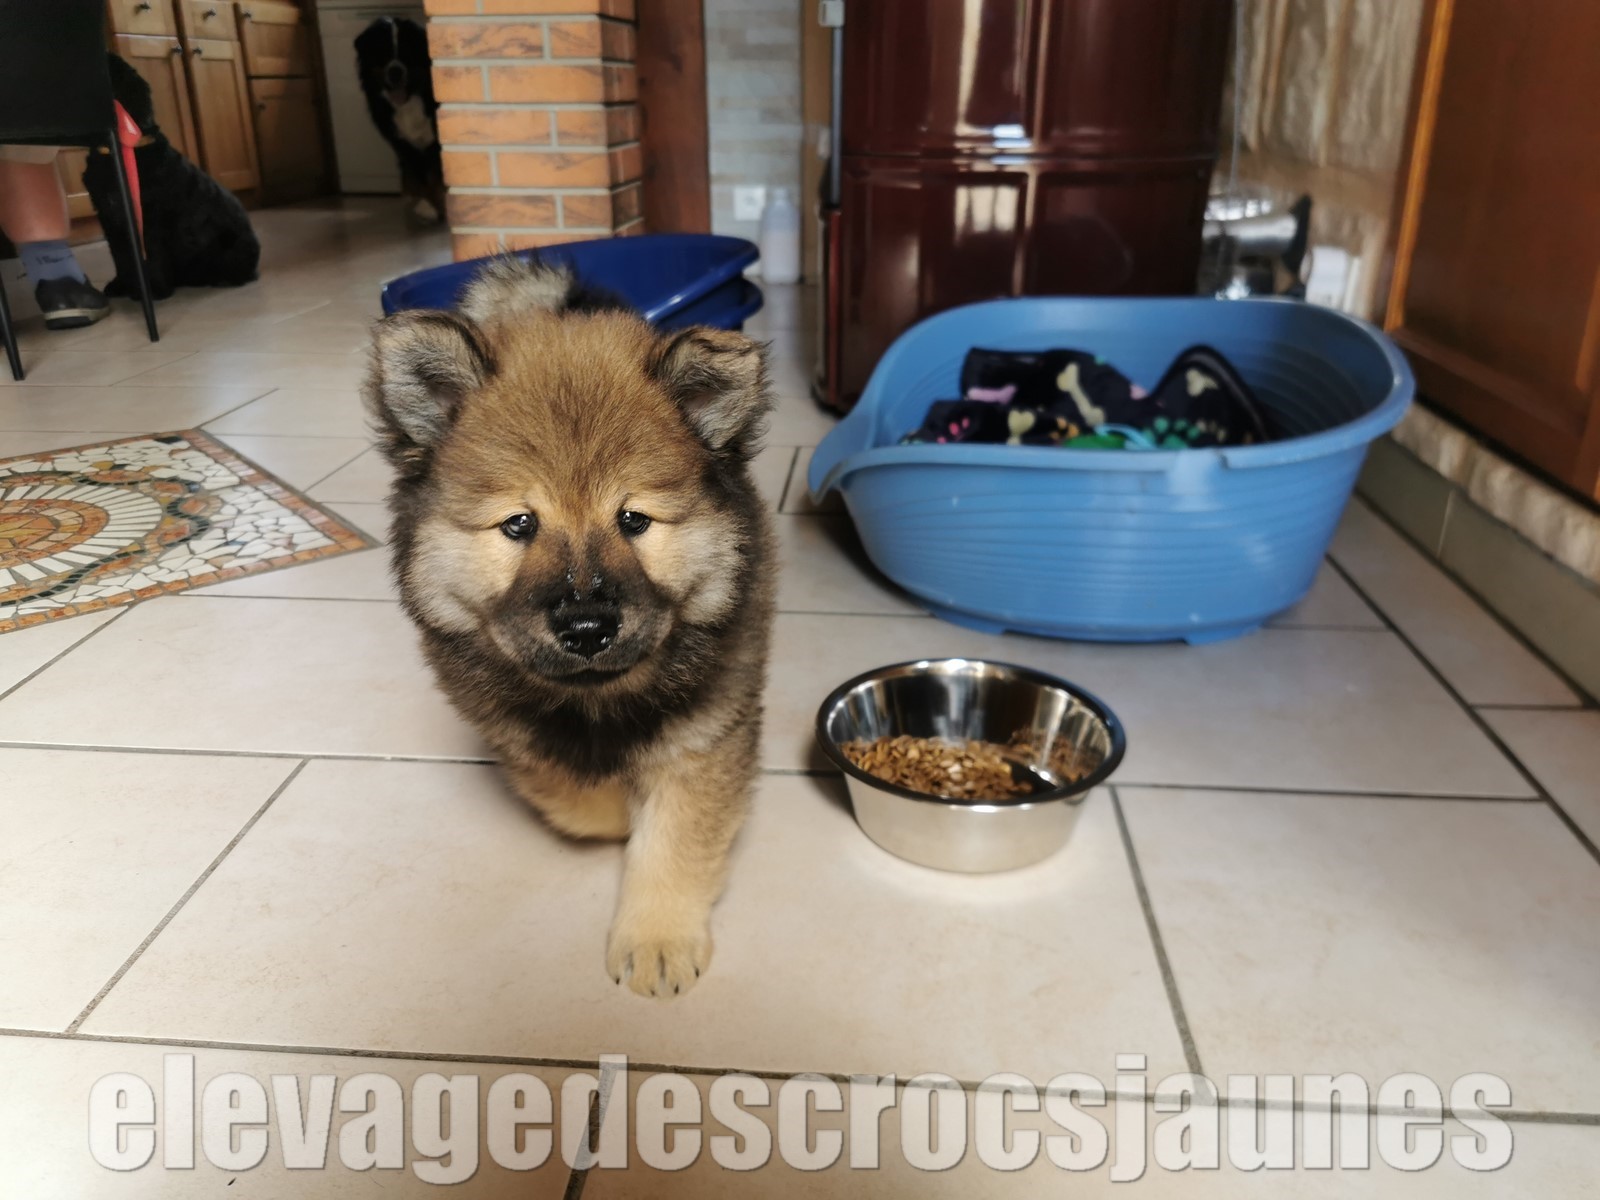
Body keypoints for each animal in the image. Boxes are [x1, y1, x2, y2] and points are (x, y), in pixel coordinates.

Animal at [84, 54, 260, 301]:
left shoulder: (149, 219)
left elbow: (149, 257)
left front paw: (153, 290)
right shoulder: (110, 220)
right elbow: (121, 257)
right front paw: (122, 285)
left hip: (235, 248)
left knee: (243, 273)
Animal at [354, 17, 446, 224]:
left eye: (408, 51)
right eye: (383, 52)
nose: (395, 72)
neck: (410, 102)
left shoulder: (435, 142)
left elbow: (436, 176)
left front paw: (440, 206)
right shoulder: (402, 144)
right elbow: (418, 178)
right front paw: (427, 206)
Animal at [366, 258, 775, 998]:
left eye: (634, 519)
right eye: (519, 524)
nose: (586, 626)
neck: (595, 701)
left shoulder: (704, 731)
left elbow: (675, 838)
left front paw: (658, 940)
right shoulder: (504, 722)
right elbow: (568, 791)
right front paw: (611, 815)